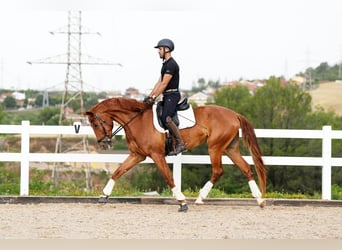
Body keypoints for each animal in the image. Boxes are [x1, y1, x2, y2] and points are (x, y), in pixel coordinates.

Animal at [83, 97, 268, 211]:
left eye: (95, 124)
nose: (104, 143)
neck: (137, 120)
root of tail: (234, 114)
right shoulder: (138, 155)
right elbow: (118, 172)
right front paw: (104, 195)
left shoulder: (156, 155)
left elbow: (168, 177)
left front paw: (182, 201)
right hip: (230, 148)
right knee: (246, 168)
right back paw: (259, 200)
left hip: (215, 147)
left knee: (218, 170)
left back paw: (200, 198)